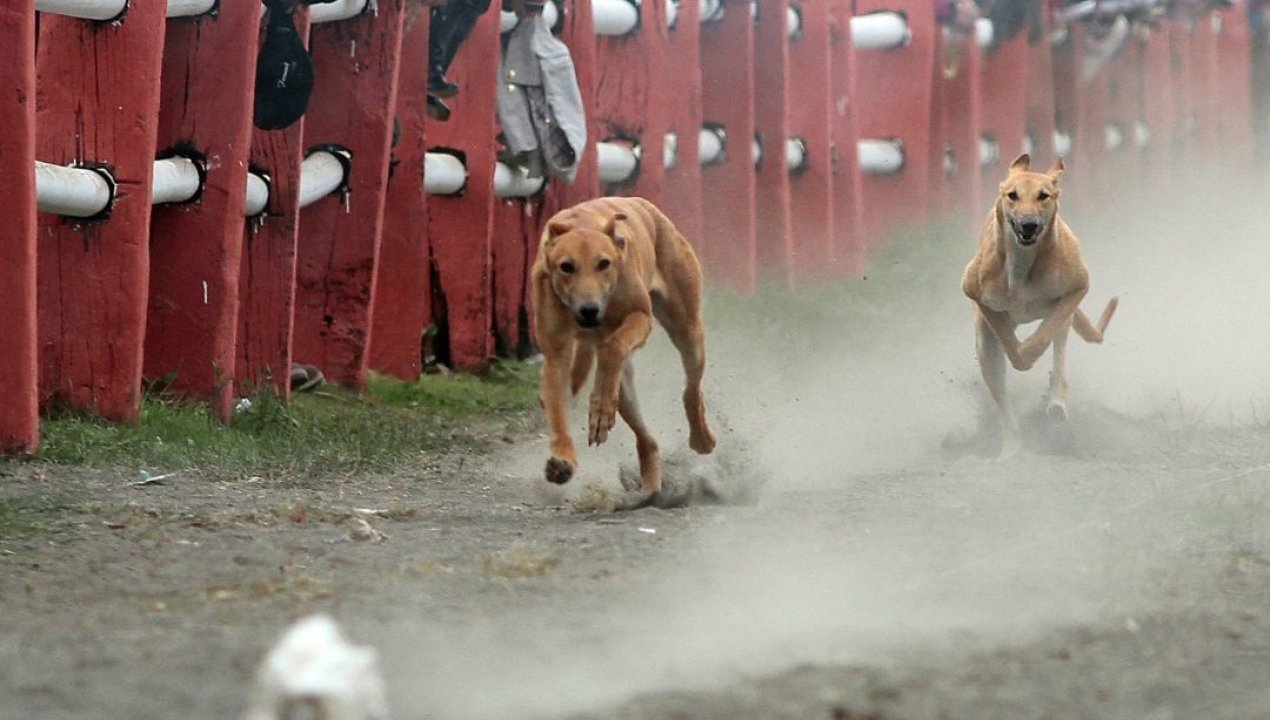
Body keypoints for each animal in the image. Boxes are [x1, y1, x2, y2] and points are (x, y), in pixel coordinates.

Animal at [530, 194, 721, 505]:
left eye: (603, 263)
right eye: (566, 266)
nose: (588, 310)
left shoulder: (639, 318)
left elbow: (614, 346)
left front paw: (599, 408)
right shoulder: (556, 352)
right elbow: (557, 405)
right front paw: (562, 459)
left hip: (688, 331)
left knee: (691, 390)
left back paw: (701, 438)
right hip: (626, 390)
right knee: (647, 439)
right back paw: (649, 487)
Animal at [960, 154, 1122, 459]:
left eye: (1043, 195)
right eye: (1012, 195)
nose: (1028, 225)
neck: (1023, 265)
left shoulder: (1076, 289)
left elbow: (1045, 335)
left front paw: (1033, 353)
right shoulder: (975, 292)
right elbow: (1008, 340)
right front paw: (1021, 353)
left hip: (1065, 316)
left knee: (1059, 351)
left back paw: (1055, 402)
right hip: (985, 349)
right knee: (1002, 393)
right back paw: (1011, 447)